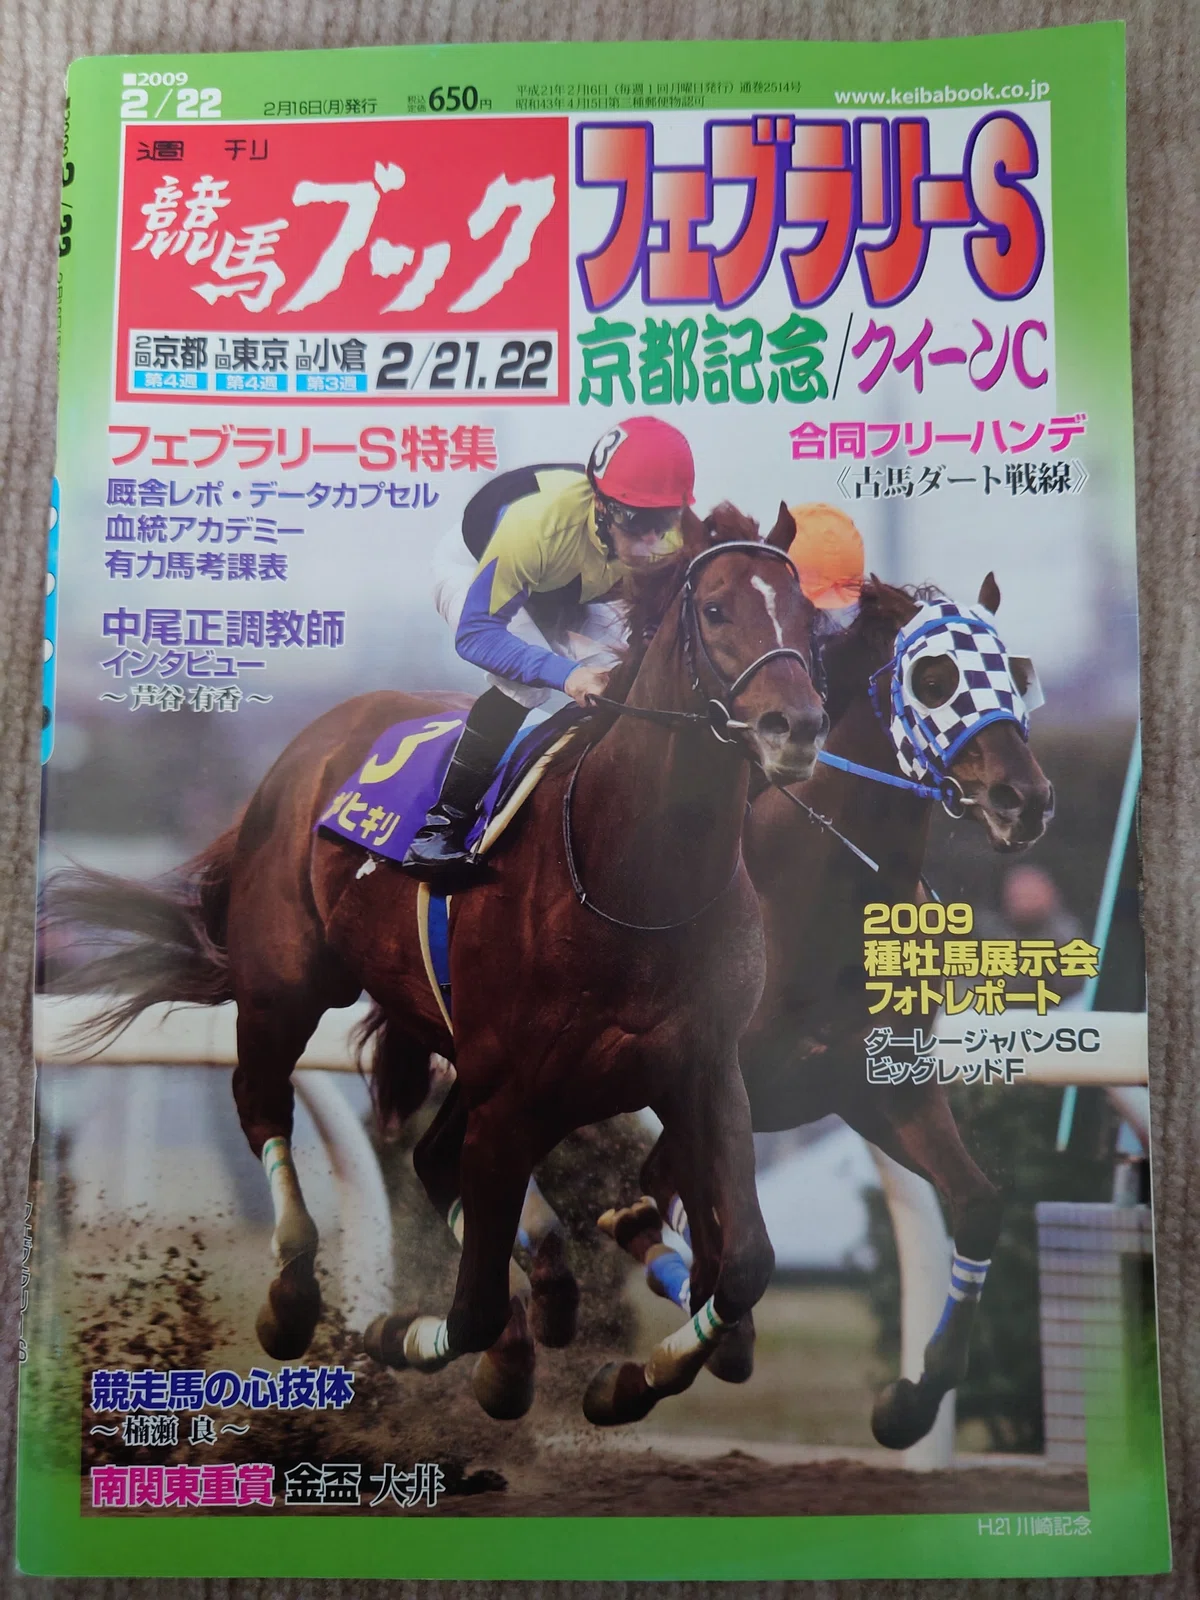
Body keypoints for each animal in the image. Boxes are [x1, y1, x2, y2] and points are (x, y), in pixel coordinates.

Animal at [45, 501, 829, 1428]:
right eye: (714, 610)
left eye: (810, 617)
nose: (797, 729)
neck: (629, 878)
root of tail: (308, 745)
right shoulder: (515, 1094)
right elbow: (476, 1305)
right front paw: (409, 1338)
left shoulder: (700, 1073)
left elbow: (744, 1265)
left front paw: (630, 1378)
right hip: (285, 987)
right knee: (264, 1103)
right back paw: (295, 1296)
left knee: (430, 1160)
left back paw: (548, 1289)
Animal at [600, 573, 1054, 1447]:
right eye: (934, 677)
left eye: (1014, 673)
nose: (1027, 798)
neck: (816, 899)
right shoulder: (709, 1090)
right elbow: (702, 1226)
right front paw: (653, 1368)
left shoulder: (876, 1087)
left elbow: (980, 1204)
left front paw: (910, 1402)